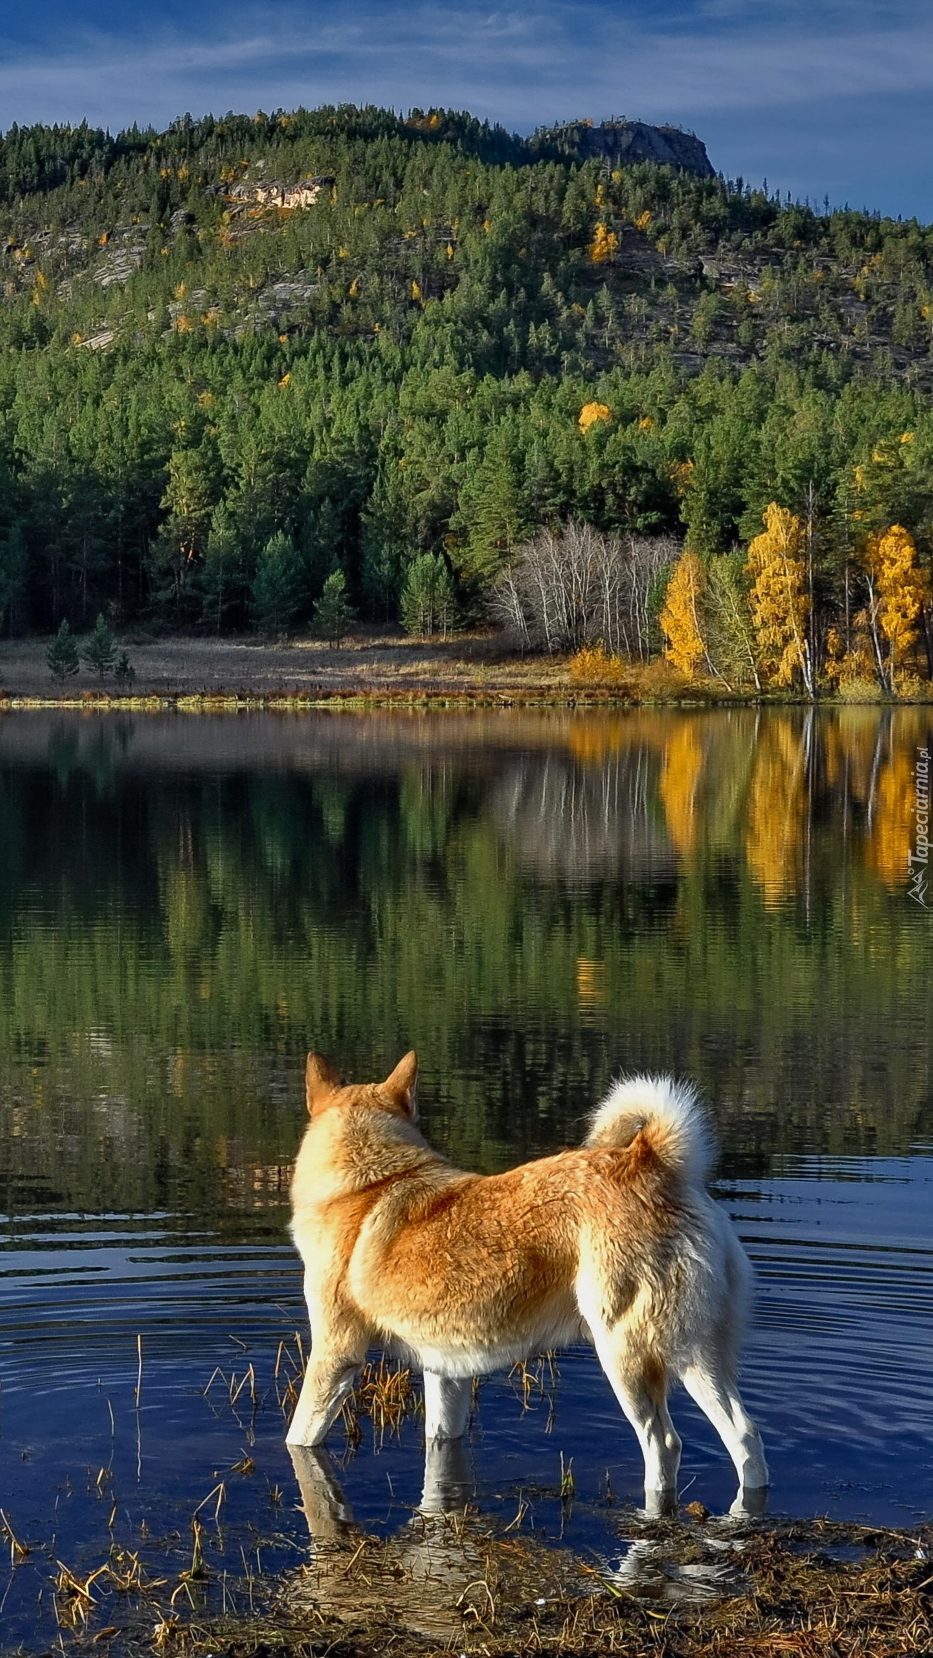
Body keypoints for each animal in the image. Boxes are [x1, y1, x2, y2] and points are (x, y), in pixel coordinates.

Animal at [288, 1054, 768, 1512]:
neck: (370, 1183)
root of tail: (652, 1159)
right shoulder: (445, 1372)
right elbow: (441, 1448)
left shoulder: (336, 1354)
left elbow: (299, 1437)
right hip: (699, 1356)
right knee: (745, 1436)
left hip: (627, 1357)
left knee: (663, 1444)